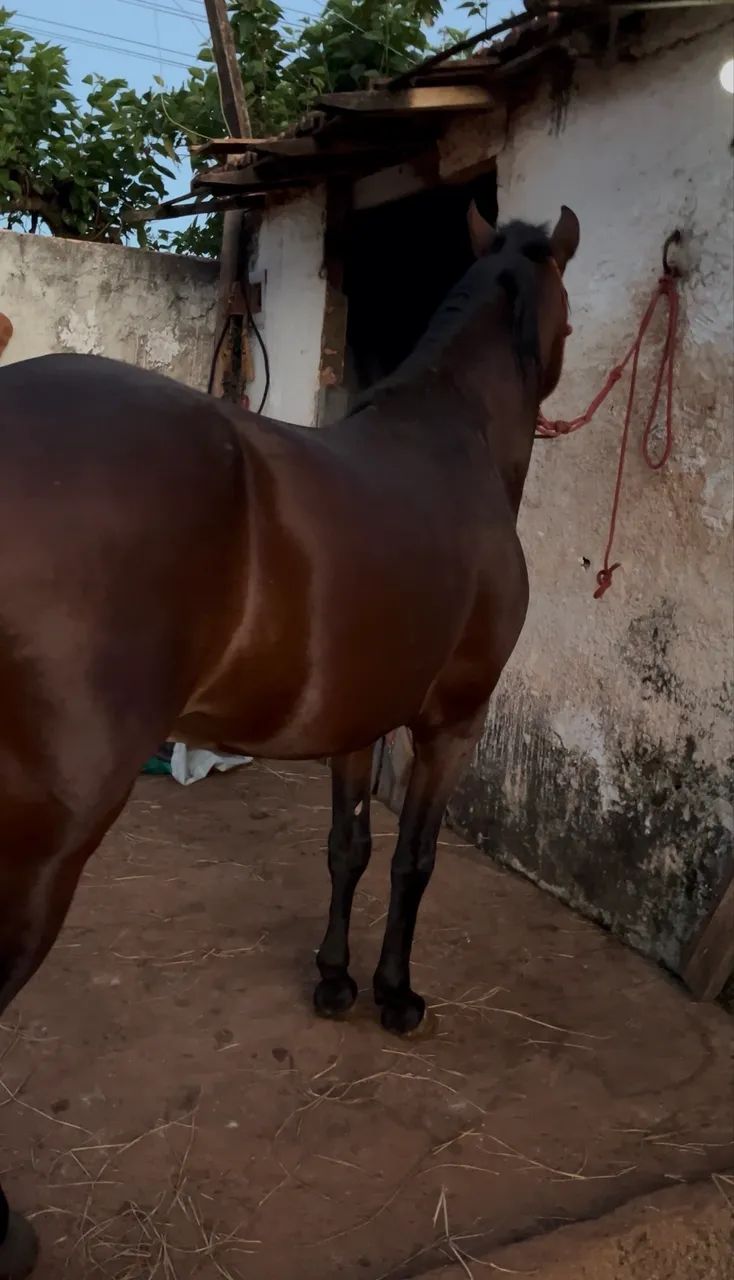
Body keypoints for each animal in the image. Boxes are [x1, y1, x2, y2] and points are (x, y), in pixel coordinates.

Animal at [0, 202, 578, 1276]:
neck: (456, 442)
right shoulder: (451, 724)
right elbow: (414, 861)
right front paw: (396, 996)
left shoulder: (357, 721)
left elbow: (348, 850)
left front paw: (336, 979)